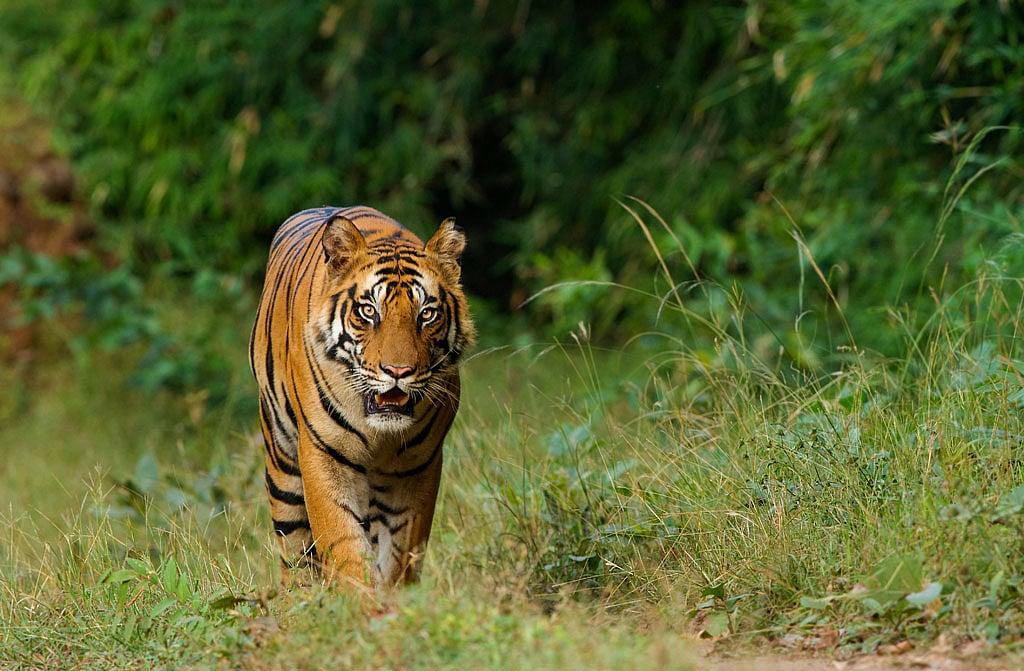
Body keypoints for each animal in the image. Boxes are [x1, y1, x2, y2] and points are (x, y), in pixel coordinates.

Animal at [248, 205, 474, 588]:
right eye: (369, 311)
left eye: (427, 314)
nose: (398, 371)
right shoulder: (324, 456)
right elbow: (345, 547)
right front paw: (360, 600)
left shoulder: (419, 468)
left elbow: (398, 555)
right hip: (282, 465)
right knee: (295, 552)